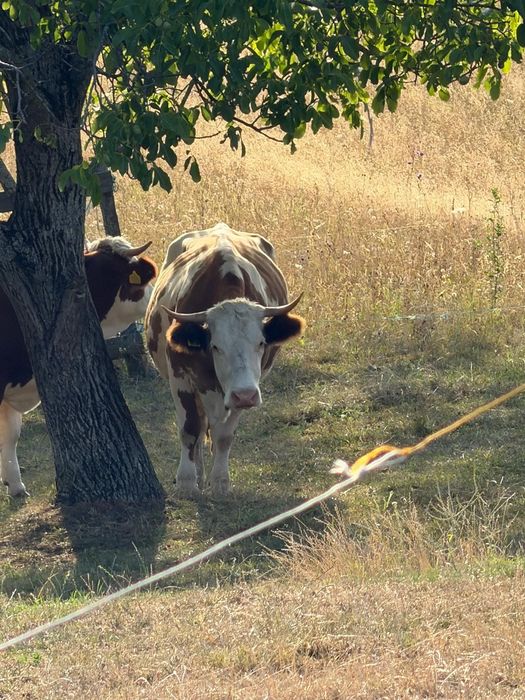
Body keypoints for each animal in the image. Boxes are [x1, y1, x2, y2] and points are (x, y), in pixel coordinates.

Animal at [145, 222, 305, 498]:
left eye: (260, 343)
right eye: (215, 346)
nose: (246, 396)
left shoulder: (240, 388)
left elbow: (223, 436)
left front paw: (220, 482)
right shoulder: (180, 378)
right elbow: (189, 429)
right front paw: (187, 482)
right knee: (199, 427)